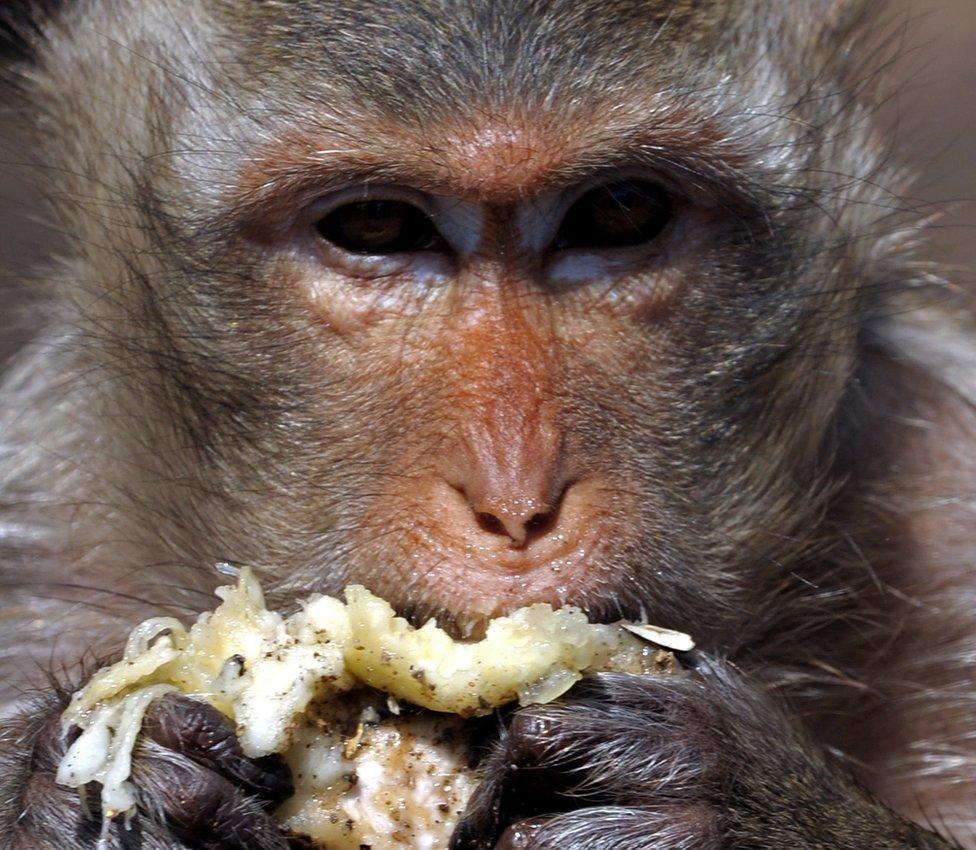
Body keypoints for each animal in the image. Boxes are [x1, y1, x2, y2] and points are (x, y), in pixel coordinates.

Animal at [0, 0, 972, 844]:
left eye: (619, 211)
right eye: (377, 224)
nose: (515, 501)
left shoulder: (941, 501)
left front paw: (734, 802)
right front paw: (95, 791)